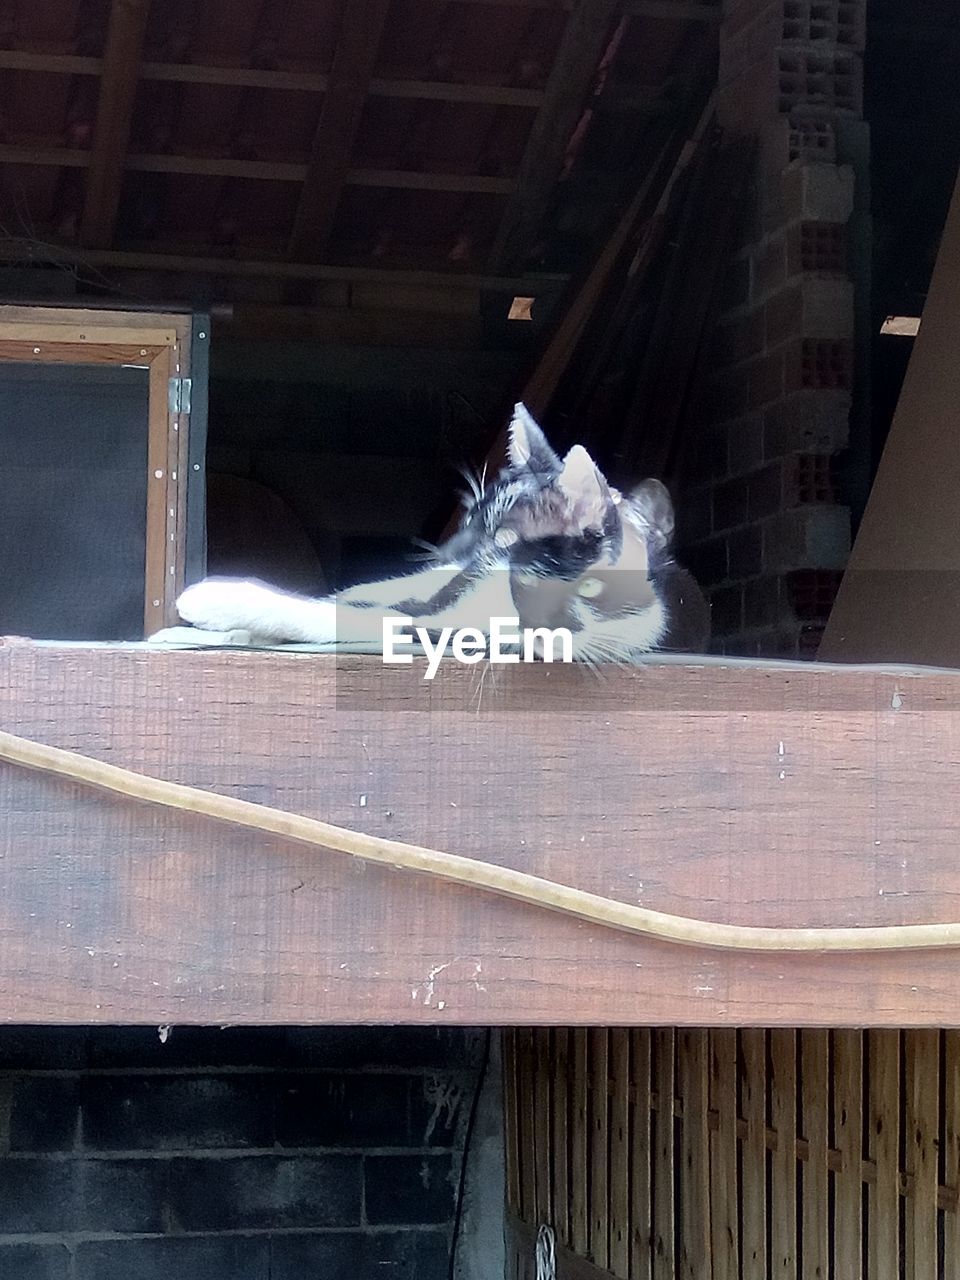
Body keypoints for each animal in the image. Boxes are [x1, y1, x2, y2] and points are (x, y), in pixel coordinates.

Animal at [148, 407, 706, 665]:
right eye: (470, 519)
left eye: (506, 539)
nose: (444, 554)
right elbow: (344, 600)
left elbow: (342, 615)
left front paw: (221, 604)